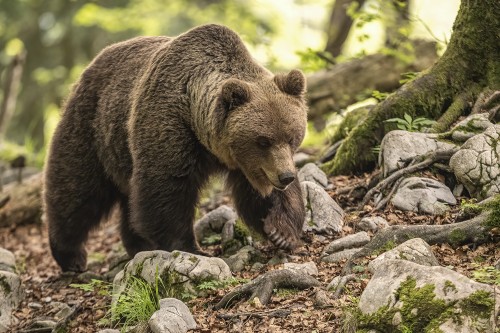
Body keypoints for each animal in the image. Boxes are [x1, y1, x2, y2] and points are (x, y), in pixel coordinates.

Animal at [44, 24, 308, 272]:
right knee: (76, 189)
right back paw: (70, 255)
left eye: (292, 137)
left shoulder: (248, 166)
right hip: (93, 127)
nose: (285, 176)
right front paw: (190, 248)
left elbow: (260, 196)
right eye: (263, 140)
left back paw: (138, 245)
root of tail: (93, 62)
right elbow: (166, 189)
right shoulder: (170, 126)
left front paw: (281, 232)